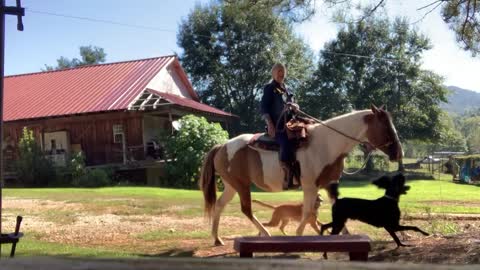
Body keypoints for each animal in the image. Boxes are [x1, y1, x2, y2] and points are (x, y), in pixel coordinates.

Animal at [199, 104, 402, 246]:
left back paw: (217, 239)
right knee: (246, 209)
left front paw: (346, 235)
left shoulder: (329, 184)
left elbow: (336, 206)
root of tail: (222, 146)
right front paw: (299, 234)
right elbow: (307, 212)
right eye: (386, 126)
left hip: (231, 186)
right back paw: (265, 233)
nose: (399, 153)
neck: (326, 144)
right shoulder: (310, 186)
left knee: (219, 205)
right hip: (241, 185)